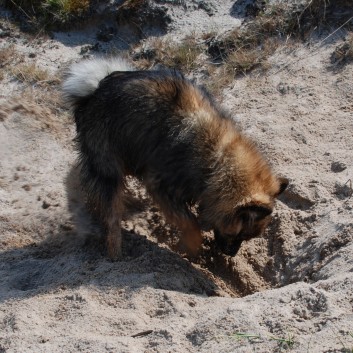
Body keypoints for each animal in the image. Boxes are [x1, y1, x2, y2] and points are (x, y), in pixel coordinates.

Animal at [62, 57, 286, 260]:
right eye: (238, 234)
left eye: (247, 238)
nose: (231, 254)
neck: (217, 159)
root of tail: (94, 90)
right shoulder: (161, 186)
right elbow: (190, 222)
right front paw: (192, 249)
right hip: (108, 166)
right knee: (111, 214)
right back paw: (114, 250)